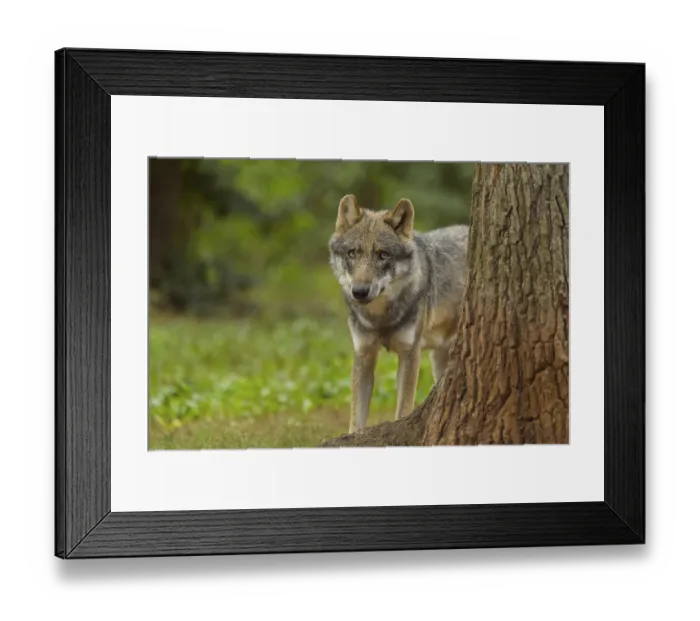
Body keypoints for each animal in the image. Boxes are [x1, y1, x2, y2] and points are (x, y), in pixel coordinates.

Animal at [329, 194, 469, 434]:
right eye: (352, 253)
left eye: (383, 255)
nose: (359, 291)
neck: (380, 318)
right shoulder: (364, 355)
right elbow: (356, 419)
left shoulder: (410, 354)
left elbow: (403, 409)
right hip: (438, 358)